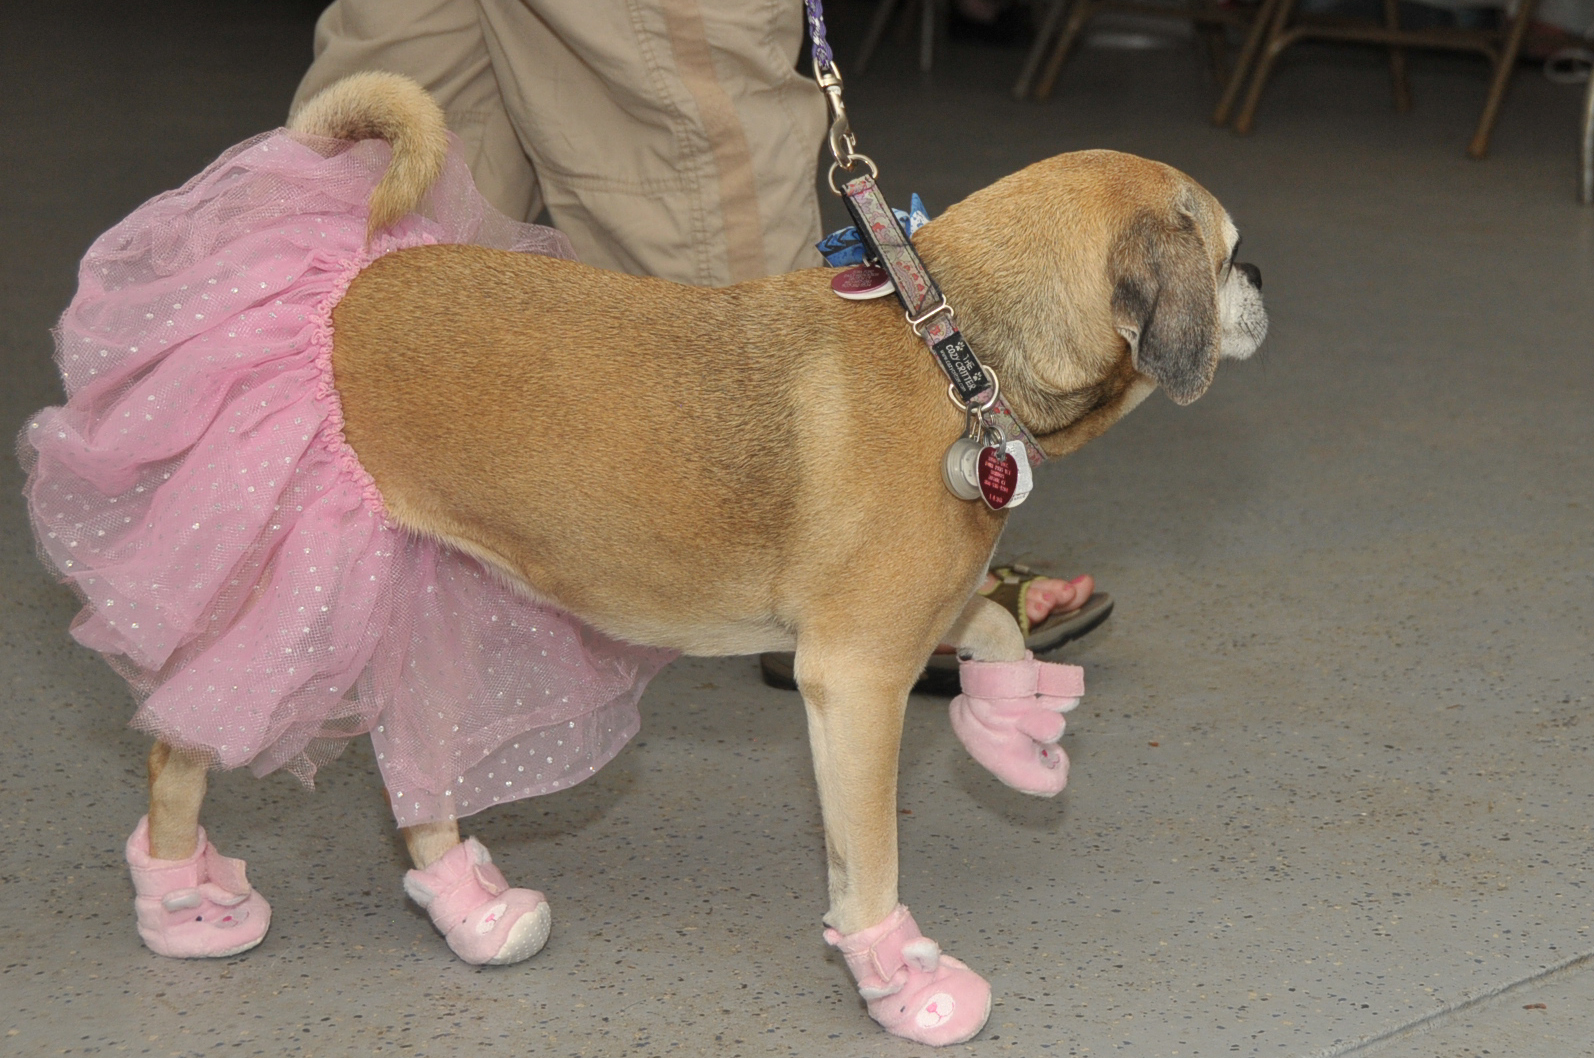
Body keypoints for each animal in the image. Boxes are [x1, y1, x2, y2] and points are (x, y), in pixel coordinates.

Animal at [53, 73, 1264, 1045]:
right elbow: (867, 862)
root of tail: (345, 282)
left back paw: (472, 908)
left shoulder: (903, 619)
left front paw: (1017, 736)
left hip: (410, 599)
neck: (949, 348)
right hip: (292, 607)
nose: (1261, 280)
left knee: (415, 772)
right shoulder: (853, 675)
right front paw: (898, 974)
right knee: (180, 748)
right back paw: (184, 907)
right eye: (1225, 249)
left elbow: (1000, 626)